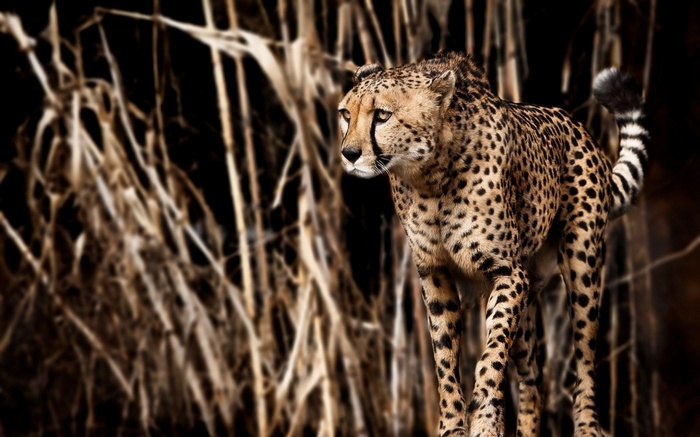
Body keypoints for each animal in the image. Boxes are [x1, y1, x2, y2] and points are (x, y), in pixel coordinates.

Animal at [338, 51, 649, 437]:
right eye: (345, 114)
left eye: (382, 115)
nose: (349, 153)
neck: (430, 176)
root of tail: (576, 126)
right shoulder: (435, 276)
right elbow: (445, 359)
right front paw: (452, 425)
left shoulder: (507, 273)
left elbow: (491, 351)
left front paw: (484, 421)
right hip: (529, 295)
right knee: (534, 377)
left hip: (581, 267)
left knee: (585, 357)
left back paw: (588, 426)